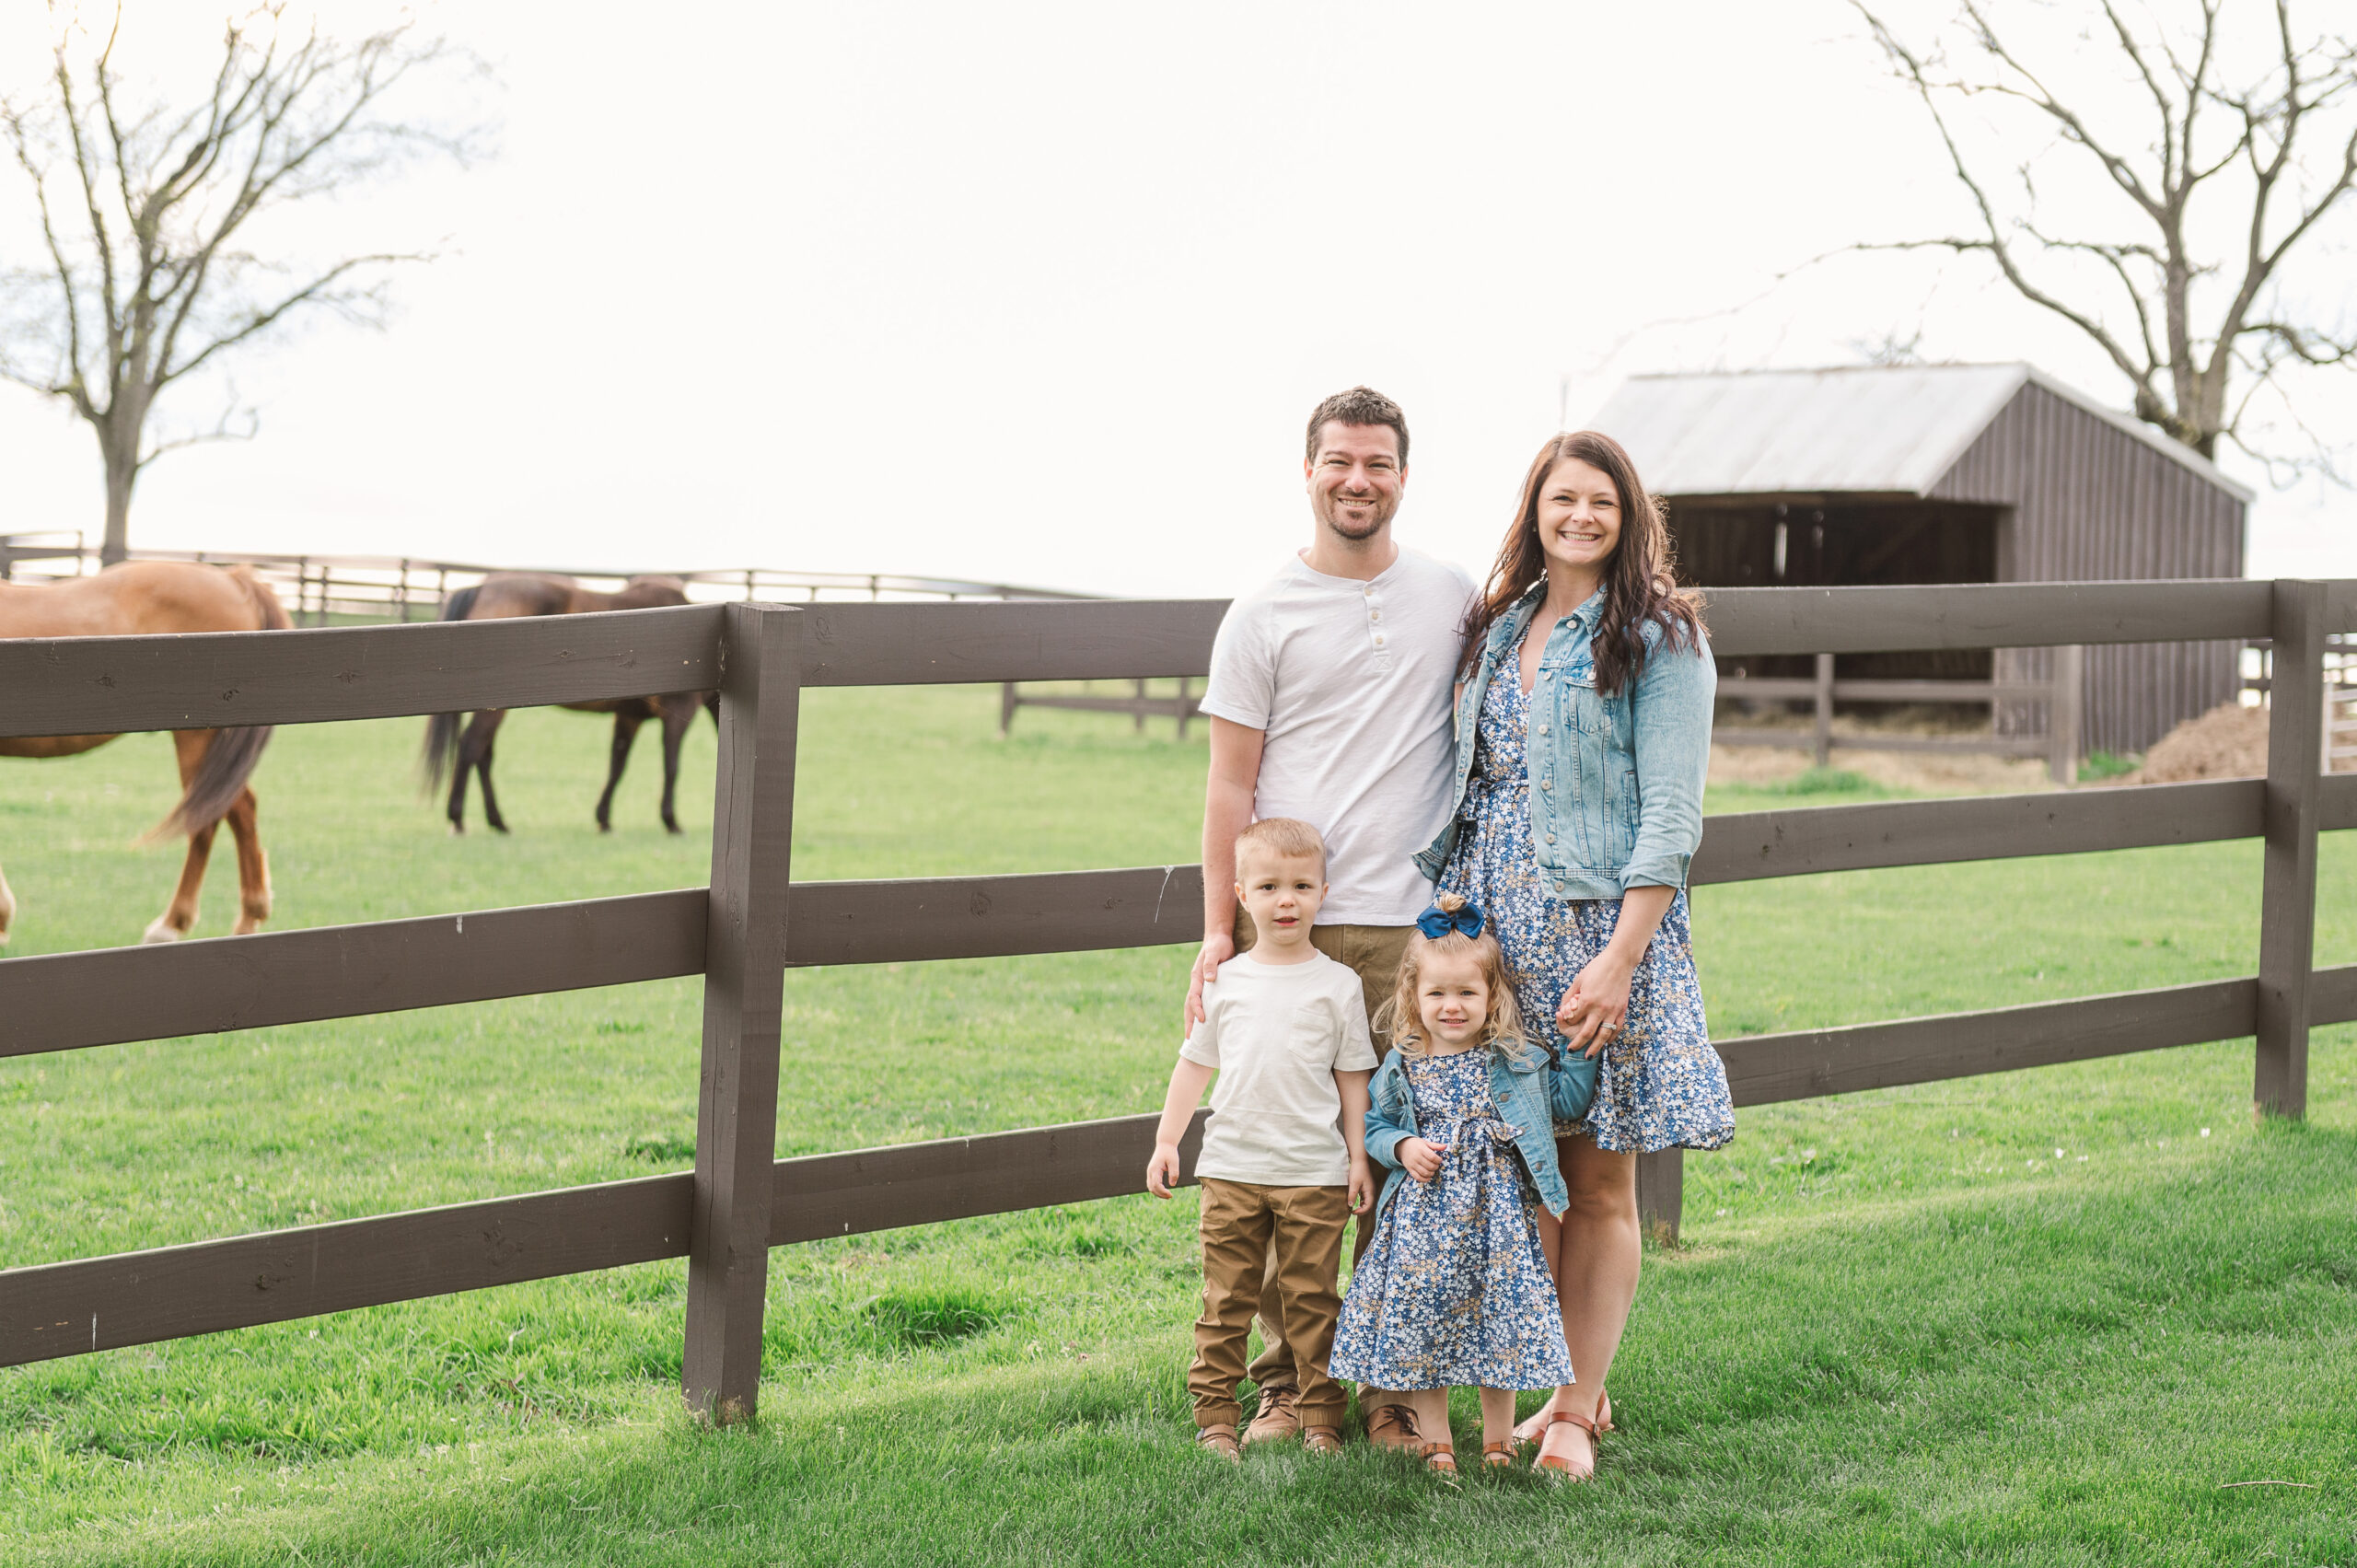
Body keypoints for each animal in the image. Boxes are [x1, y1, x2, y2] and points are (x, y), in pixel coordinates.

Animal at [424, 575, 716, 839]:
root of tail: (480, 588)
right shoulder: (678, 715)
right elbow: (671, 767)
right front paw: (671, 821)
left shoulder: (627, 717)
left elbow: (617, 765)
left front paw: (604, 819)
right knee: (470, 747)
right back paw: (458, 819)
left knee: (483, 755)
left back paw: (498, 822)